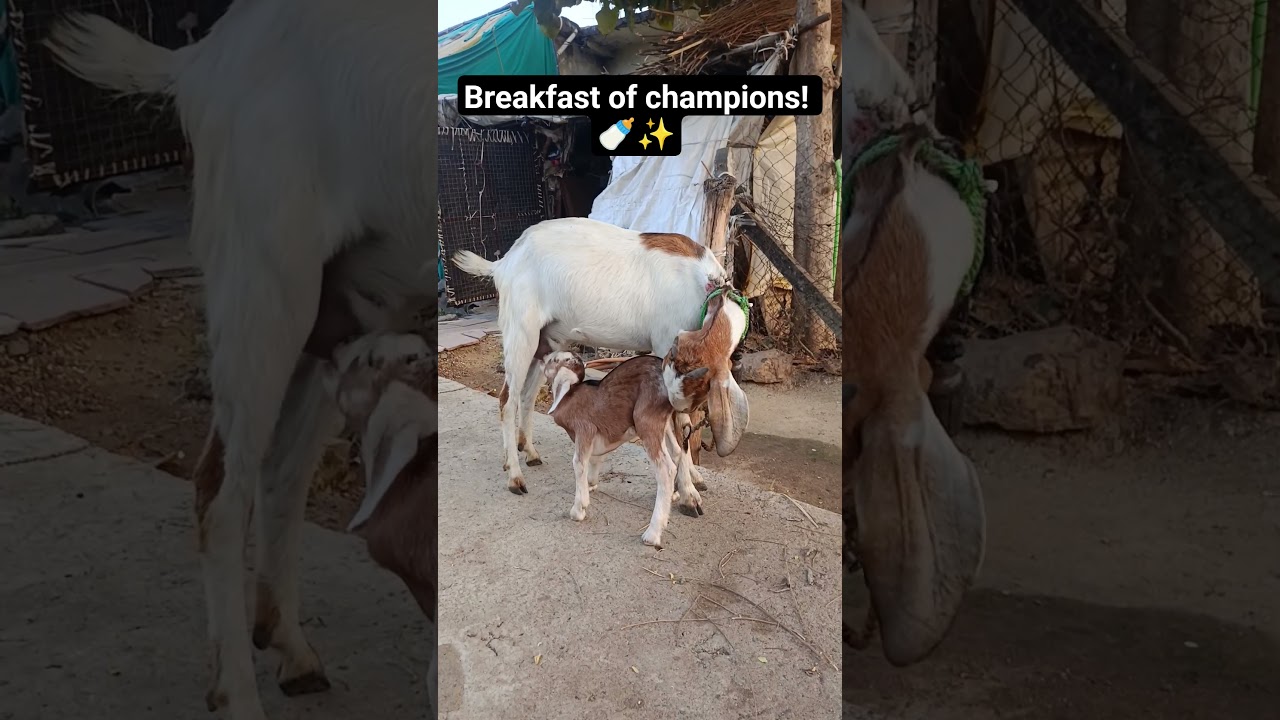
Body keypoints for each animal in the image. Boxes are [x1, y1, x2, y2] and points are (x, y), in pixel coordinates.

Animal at [45, 4, 435, 719]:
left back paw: (291, 649)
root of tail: (203, 61)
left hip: (341, 298)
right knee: (219, 488)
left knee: (282, 468)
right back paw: (236, 692)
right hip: (264, 280)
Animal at [452, 217, 745, 497]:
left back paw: (530, 452)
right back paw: (514, 476)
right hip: (520, 331)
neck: (700, 285)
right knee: (507, 400)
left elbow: (682, 426)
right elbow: (677, 424)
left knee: (527, 395)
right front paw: (688, 490)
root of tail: (505, 262)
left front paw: (693, 479)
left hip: (546, 339)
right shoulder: (664, 344)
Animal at [541, 289, 749, 547]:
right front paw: (592, 483)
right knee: (678, 451)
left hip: (646, 422)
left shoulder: (584, 430)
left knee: (666, 469)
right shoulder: (602, 435)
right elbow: (597, 458)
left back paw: (653, 533)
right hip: (662, 423)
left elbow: (578, 463)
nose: (543, 357)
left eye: (554, 361)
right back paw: (678, 495)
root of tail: (668, 385)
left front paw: (578, 509)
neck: (571, 394)